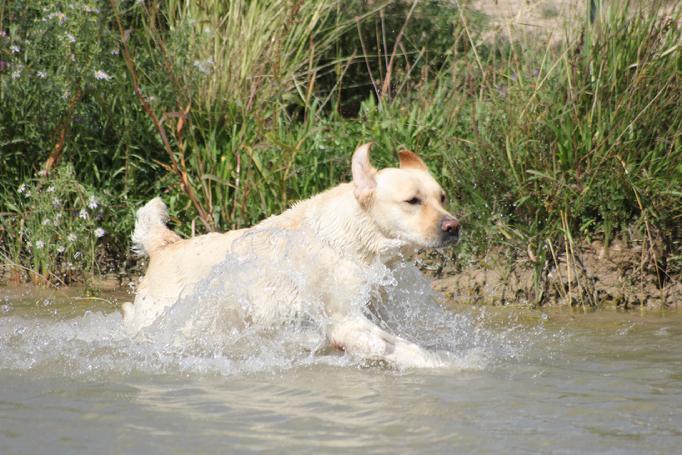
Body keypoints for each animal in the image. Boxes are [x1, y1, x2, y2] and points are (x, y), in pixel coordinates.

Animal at [125, 144, 460, 368]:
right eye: (413, 201)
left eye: (441, 198)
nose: (454, 226)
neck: (354, 240)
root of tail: (164, 245)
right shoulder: (344, 319)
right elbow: (382, 343)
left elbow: (406, 346)